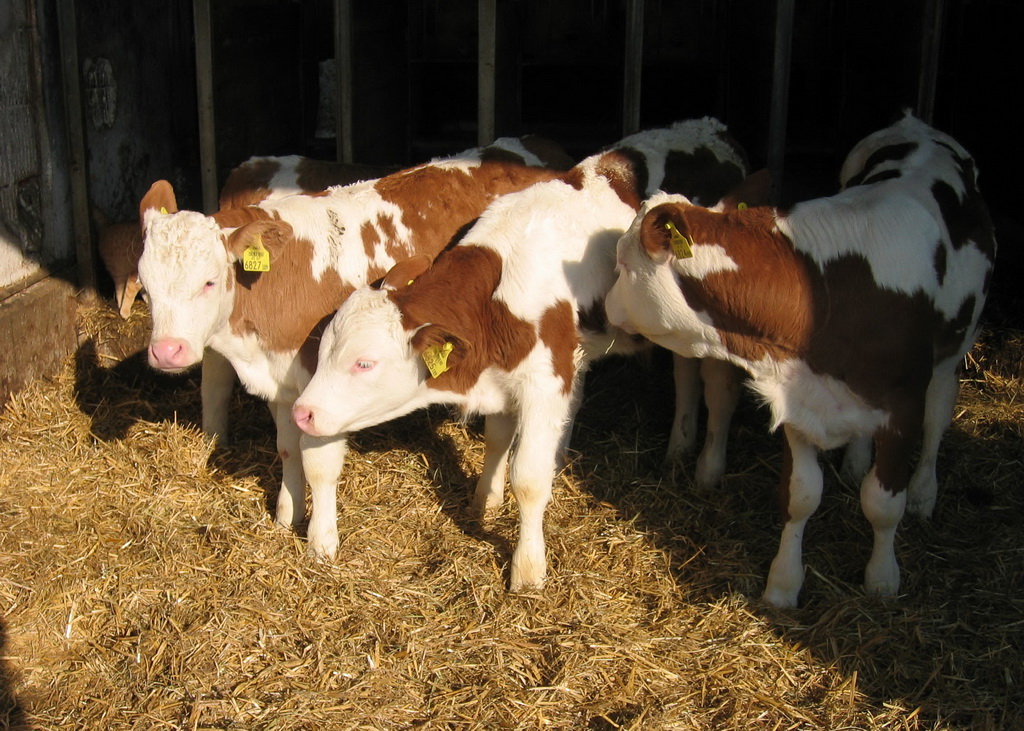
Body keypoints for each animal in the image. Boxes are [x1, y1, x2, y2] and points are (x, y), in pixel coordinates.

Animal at [136, 137, 573, 556]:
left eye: (209, 281)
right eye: (145, 283)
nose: (167, 351)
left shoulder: (324, 386)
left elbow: (318, 463)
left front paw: (321, 543)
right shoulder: (283, 385)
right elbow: (287, 448)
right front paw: (286, 515)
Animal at [292, 116, 749, 589]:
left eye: (364, 363)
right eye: (324, 352)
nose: (301, 412)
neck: (498, 298)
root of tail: (709, 127)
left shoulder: (545, 381)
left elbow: (528, 479)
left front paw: (528, 570)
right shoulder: (507, 376)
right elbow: (497, 439)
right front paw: (486, 499)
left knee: (718, 389)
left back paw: (707, 469)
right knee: (684, 374)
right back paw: (677, 446)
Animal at [602, 112, 995, 602]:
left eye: (623, 263)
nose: (606, 306)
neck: (824, 294)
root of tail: (917, 125)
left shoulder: (902, 405)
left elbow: (884, 503)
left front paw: (882, 579)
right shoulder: (798, 398)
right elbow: (800, 495)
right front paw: (783, 584)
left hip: (952, 350)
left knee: (939, 416)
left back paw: (924, 491)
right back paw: (856, 463)